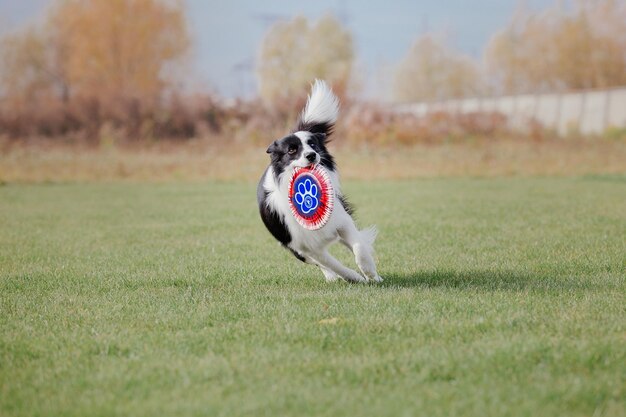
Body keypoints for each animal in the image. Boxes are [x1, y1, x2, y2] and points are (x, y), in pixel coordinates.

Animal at [256, 79, 382, 282]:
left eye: (313, 144)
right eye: (292, 150)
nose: (311, 155)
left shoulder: (341, 220)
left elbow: (358, 247)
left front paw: (370, 272)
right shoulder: (305, 246)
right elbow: (332, 264)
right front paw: (354, 277)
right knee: (323, 264)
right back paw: (333, 277)